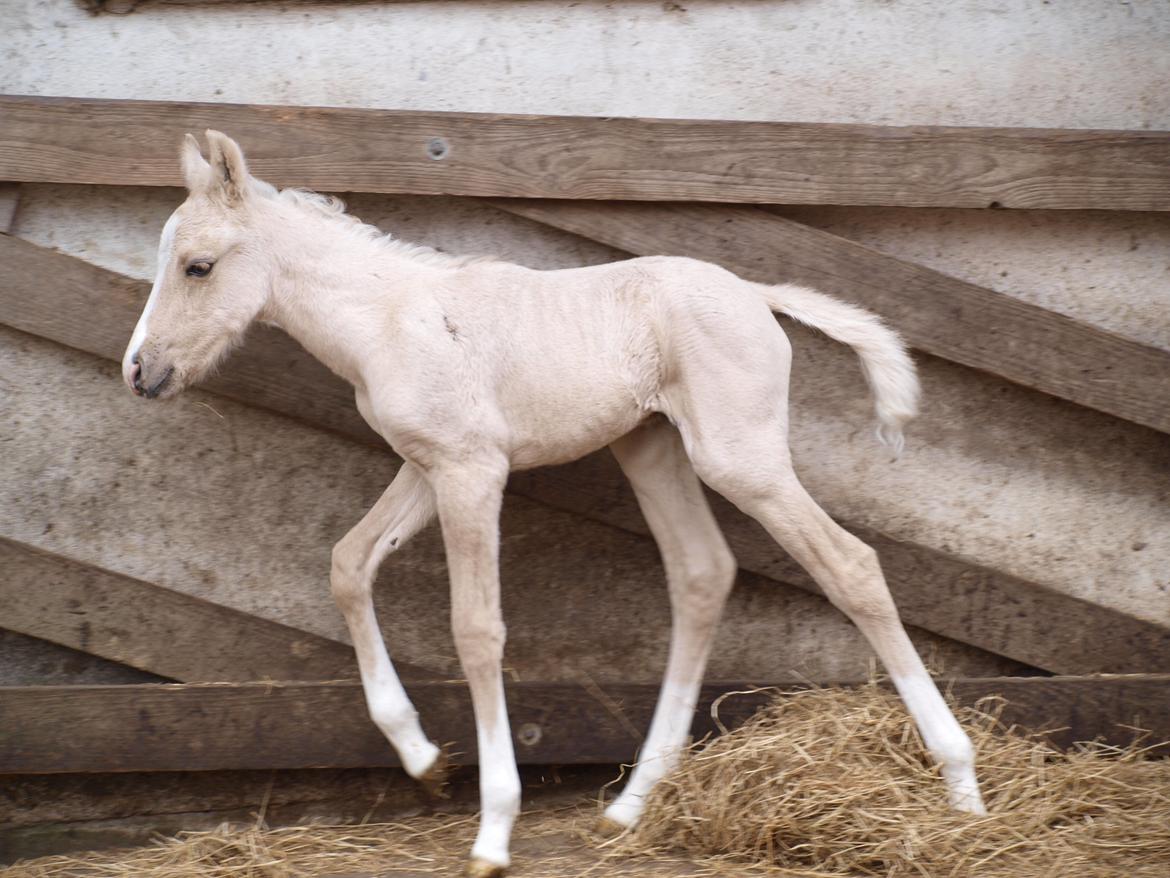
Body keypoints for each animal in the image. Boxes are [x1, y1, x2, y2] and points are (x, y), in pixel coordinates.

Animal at [121, 132, 987, 878]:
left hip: (740, 459)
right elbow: (348, 564)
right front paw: (424, 759)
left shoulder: (472, 472)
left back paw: (963, 789)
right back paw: (633, 804)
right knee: (701, 573)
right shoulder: (428, 466)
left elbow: (476, 630)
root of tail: (757, 295)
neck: (390, 318)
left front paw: (493, 829)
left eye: (197, 266)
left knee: (851, 565)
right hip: (651, 448)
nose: (140, 372)